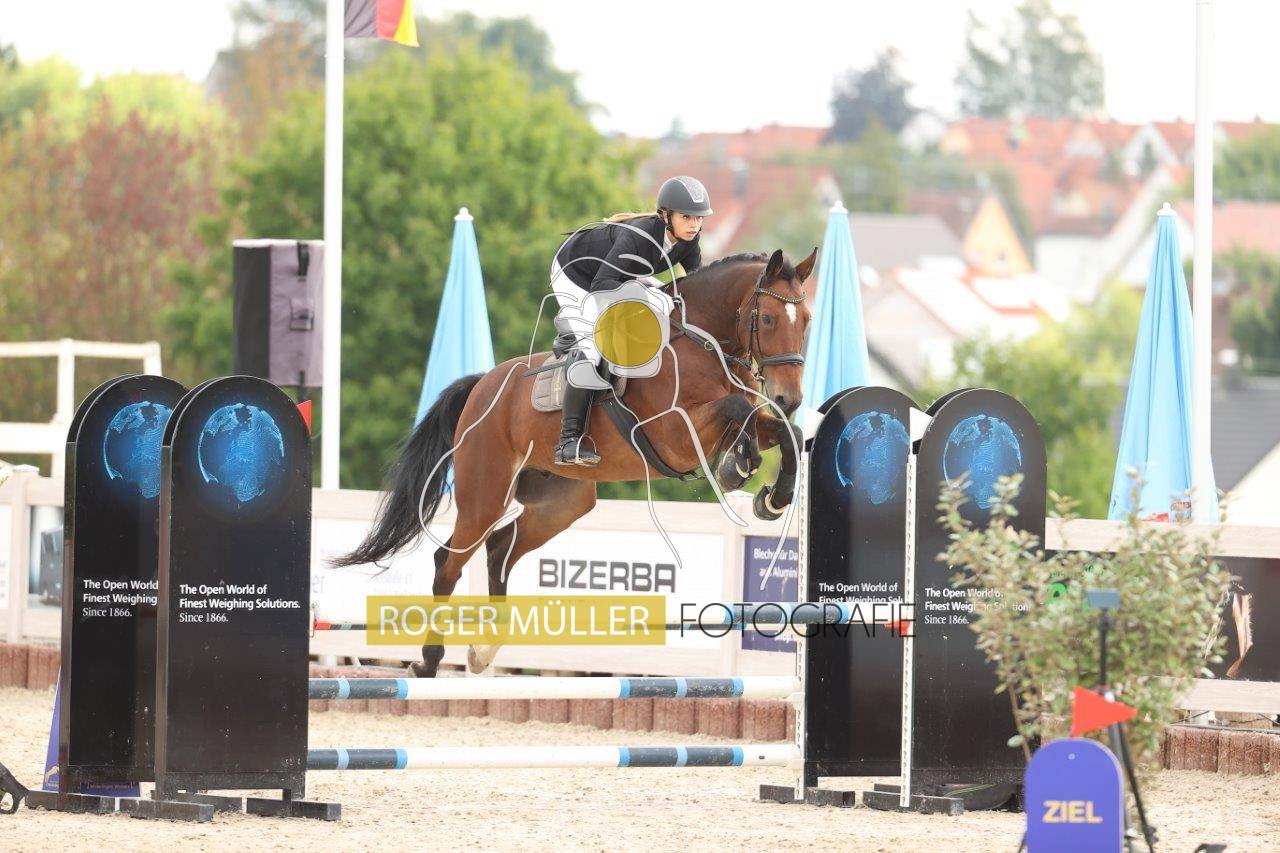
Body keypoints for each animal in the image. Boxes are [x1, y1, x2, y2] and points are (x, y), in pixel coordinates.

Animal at [333, 248, 816, 677]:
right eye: (768, 319)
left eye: (807, 322)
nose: (790, 398)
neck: (704, 345)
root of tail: (482, 387)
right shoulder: (674, 436)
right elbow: (740, 409)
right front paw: (739, 466)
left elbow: (785, 433)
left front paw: (772, 497)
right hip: (485, 494)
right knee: (447, 562)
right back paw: (430, 661)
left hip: (562, 503)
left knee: (500, 548)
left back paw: (484, 650)